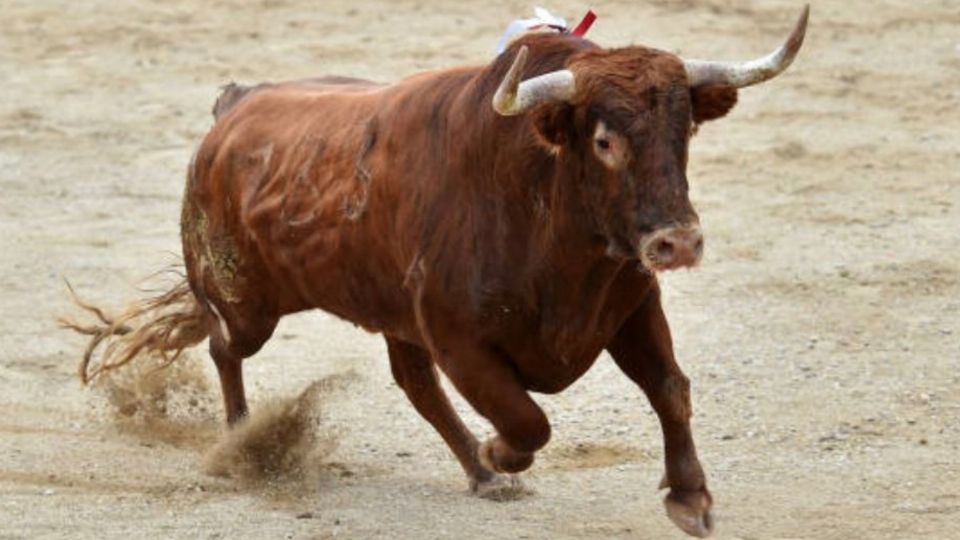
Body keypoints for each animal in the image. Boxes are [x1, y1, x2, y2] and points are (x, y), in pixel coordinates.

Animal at [63, 7, 808, 536]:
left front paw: (690, 497)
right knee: (226, 347)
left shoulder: (630, 303)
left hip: (389, 313)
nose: (677, 243)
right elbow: (527, 419)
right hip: (246, 299)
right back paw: (243, 445)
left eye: (685, 133)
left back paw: (478, 473)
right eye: (604, 140)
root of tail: (234, 109)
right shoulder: (459, 338)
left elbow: (670, 389)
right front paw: (502, 455)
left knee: (413, 384)